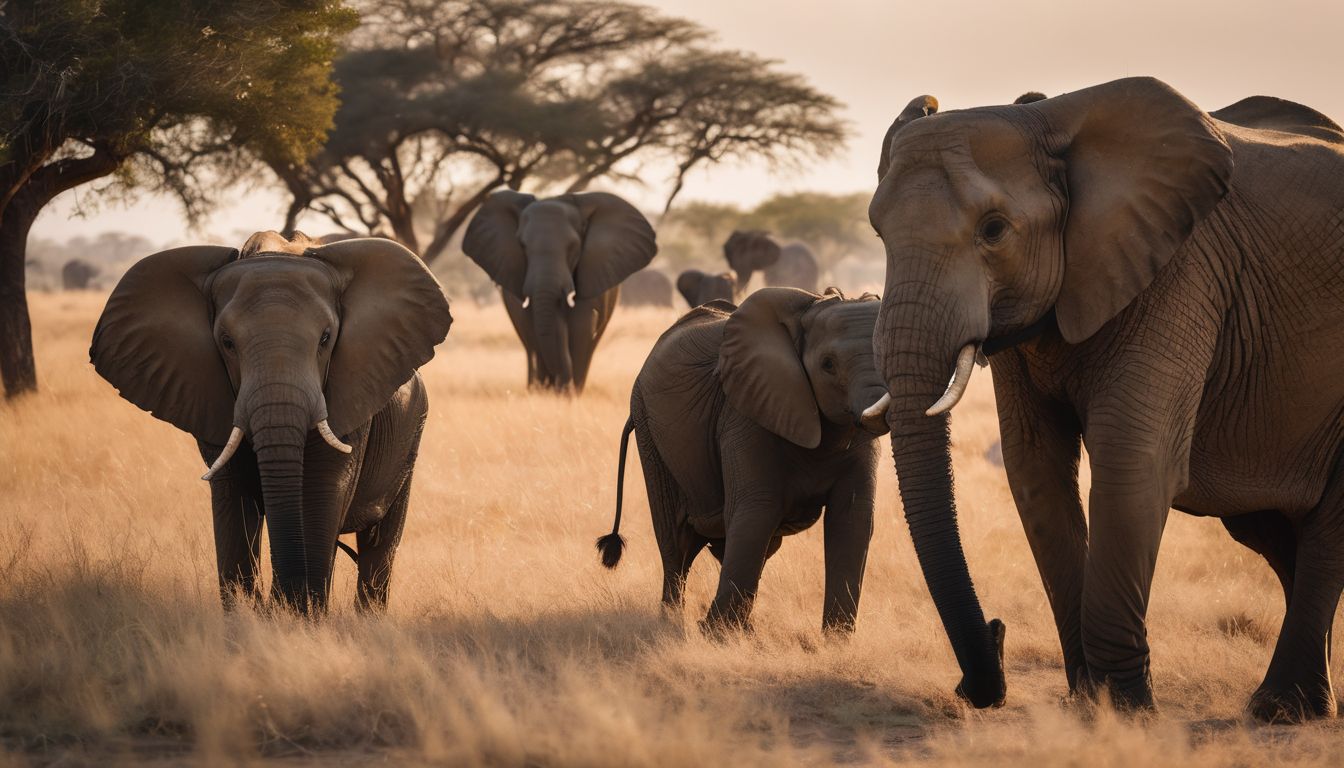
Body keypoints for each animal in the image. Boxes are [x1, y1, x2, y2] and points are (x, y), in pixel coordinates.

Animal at [92, 231, 456, 616]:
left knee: (379, 544)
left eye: (326, 338)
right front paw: (249, 616)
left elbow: (323, 490)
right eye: (227, 342)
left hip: (413, 433)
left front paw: (300, 616)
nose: (275, 604)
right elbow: (233, 498)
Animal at [465, 189, 658, 392]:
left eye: (573, 246)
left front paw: (567, 394)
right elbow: (535, 328)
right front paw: (545, 392)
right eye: (522, 245)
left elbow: (581, 327)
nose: (556, 384)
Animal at [599, 286, 892, 632]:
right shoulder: (745, 413)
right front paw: (713, 634)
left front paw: (834, 641)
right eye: (828, 365)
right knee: (676, 542)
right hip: (650, 431)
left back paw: (742, 628)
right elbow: (757, 511)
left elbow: (852, 519)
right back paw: (673, 622)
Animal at [865, 78, 1344, 720]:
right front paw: (1090, 699)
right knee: (1270, 532)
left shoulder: (1182, 270)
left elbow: (1131, 462)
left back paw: (1280, 709)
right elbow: (1034, 470)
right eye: (878, 232)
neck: (1051, 122)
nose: (993, 640)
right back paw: (1307, 704)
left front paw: (1126, 709)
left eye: (993, 230)